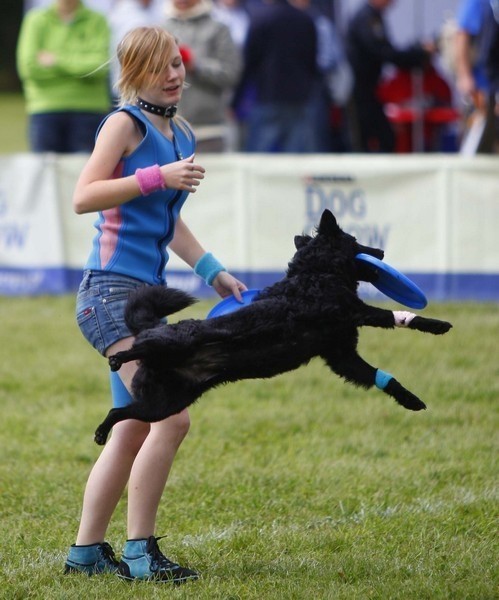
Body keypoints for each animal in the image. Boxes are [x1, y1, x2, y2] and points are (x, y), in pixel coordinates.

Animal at [94, 211, 454, 446]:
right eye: (356, 241)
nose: (380, 251)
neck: (316, 274)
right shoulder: (353, 313)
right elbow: (395, 316)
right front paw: (439, 325)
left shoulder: (342, 356)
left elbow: (380, 376)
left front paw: (411, 400)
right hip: (175, 347)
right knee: (138, 349)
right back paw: (119, 359)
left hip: (161, 406)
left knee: (117, 410)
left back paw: (100, 432)